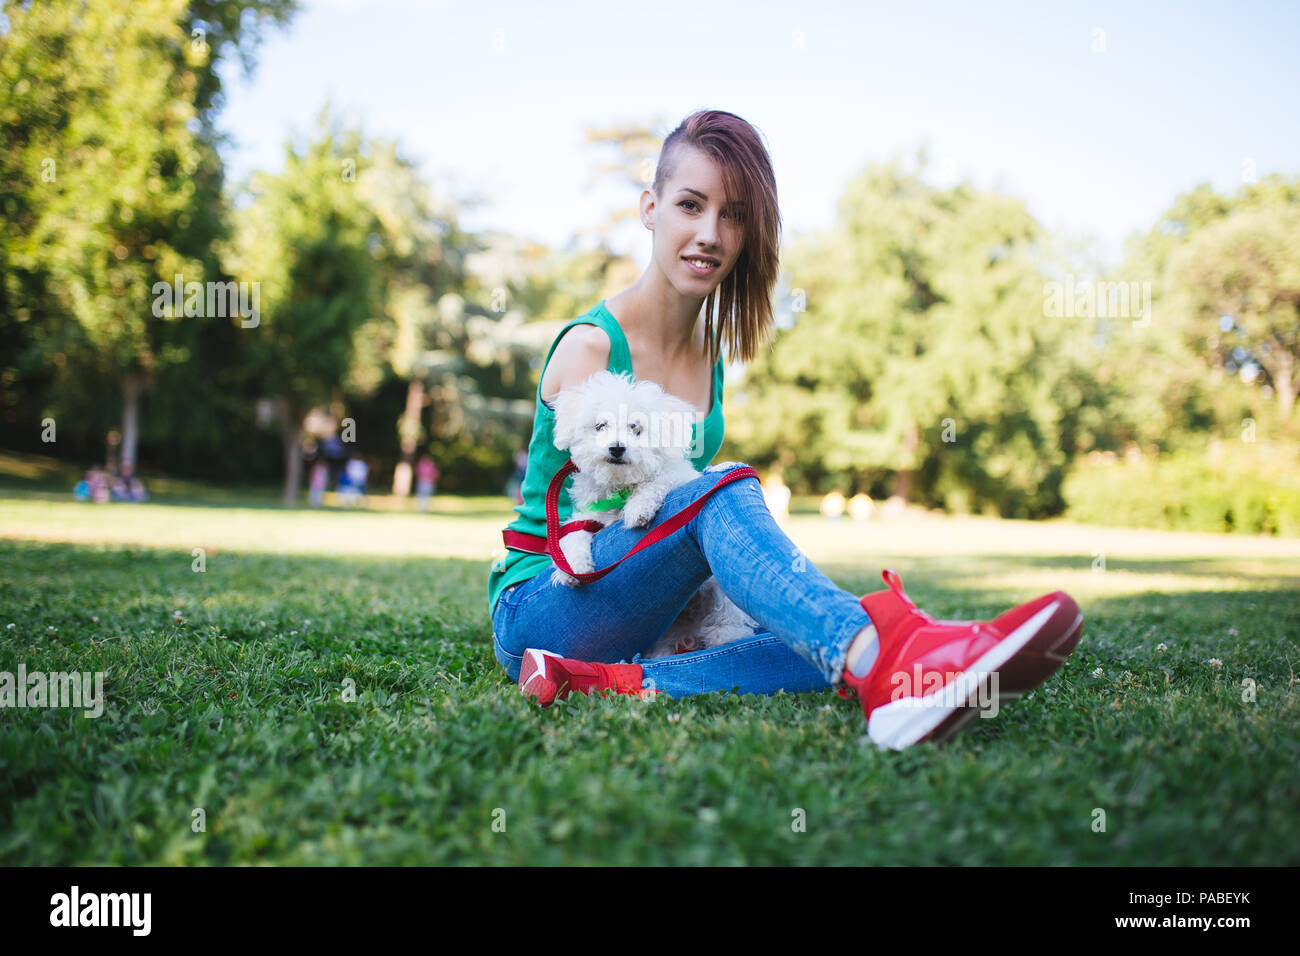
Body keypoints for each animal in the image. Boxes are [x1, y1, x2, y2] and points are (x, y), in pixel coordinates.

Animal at [548, 369, 759, 660]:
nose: (616, 448)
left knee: (726, 616)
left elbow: (660, 480)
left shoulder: (678, 477)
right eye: (600, 426)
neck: (622, 488)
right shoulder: (591, 515)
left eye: (636, 428)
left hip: (717, 594)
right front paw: (573, 565)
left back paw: (727, 636)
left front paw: (639, 507)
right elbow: (573, 532)